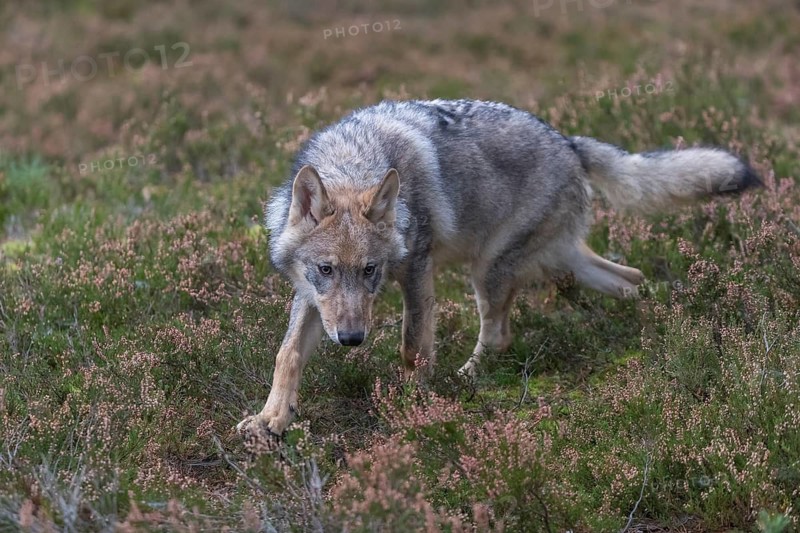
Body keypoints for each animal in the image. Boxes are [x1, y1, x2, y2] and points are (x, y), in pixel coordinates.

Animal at [236, 98, 761, 436]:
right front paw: (271, 420)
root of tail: (569, 142)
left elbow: (412, 348)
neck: (353, 159)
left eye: (370, 271)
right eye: (326, 270)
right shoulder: (310, 298)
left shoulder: (417, 273)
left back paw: (463, 380)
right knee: (632, 280)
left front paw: (411, 409)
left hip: (487, 272)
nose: (350, 340)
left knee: (499, 336)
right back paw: (653, 324)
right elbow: (287, 355)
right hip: (561, 262)